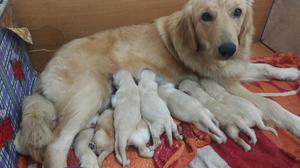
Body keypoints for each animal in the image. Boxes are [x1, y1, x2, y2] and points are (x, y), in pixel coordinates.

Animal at [18, 0, 300, 167]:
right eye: (206, 16)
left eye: (237, 12)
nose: (229, 49)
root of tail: (44, 71)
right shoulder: (225, 82)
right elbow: (269, 104)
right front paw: (294, 122)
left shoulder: (233, 70)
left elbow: (264, 67)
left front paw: (290, 72)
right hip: (88, 96)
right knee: (55, 146)